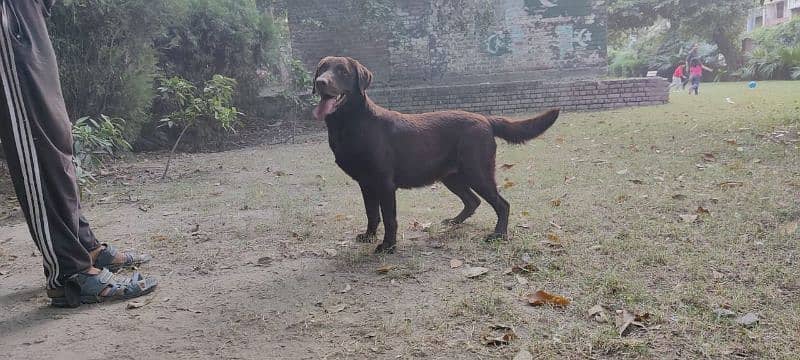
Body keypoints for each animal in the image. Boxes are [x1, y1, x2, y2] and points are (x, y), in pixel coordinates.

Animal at [310, 56, 556, 253]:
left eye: (343, 71)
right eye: (322, 69)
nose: (320, 82)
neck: (350, 125)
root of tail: (485, 119)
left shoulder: (384, 183)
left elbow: (389, 218)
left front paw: (388, 246)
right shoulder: (366, 183)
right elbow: (372, 214)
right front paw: (369, 236)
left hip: (477, 172)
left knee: (502, 204)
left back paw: (498, 235)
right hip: (451, 176)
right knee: (473, 201)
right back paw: (455, 222)